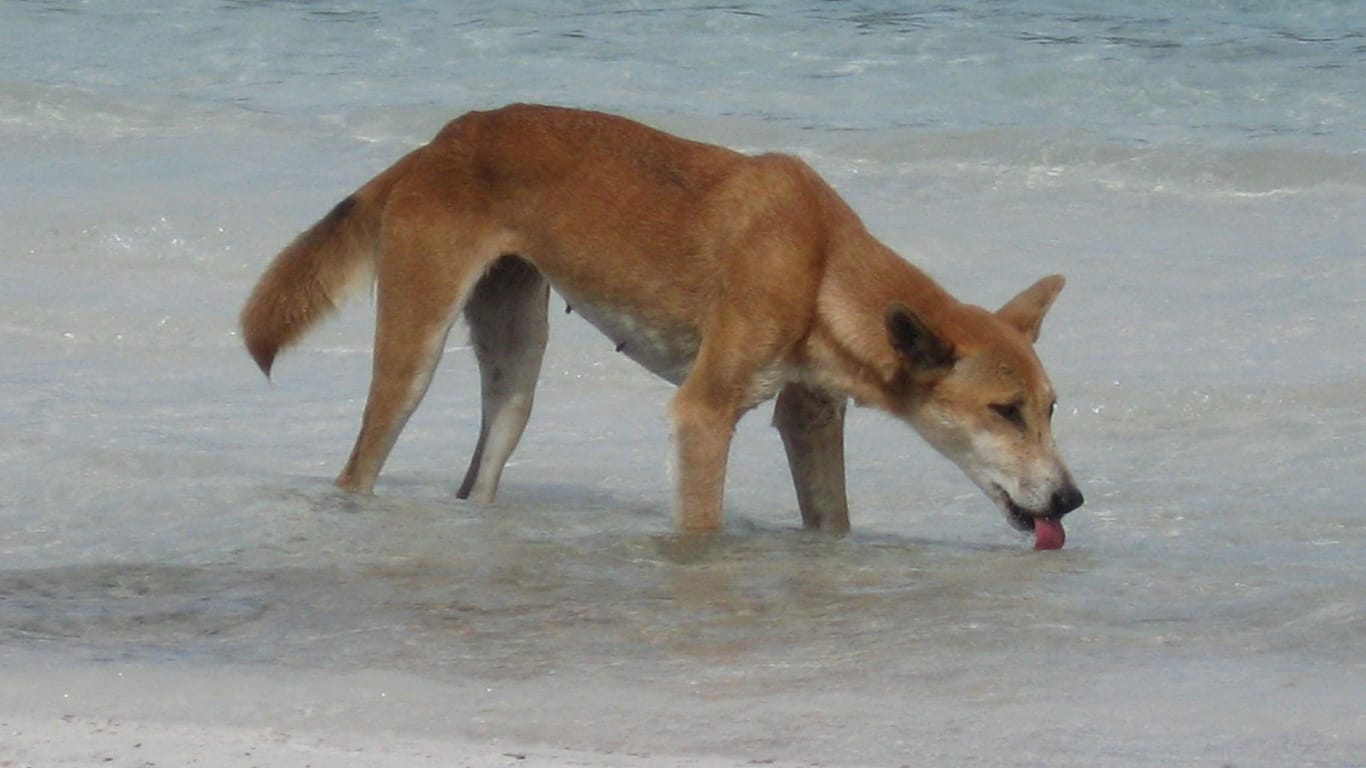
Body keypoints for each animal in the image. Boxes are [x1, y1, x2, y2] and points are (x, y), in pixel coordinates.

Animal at [240, 103, 1081, 543]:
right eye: (1005, 412)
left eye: (1050, 410)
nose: (1071, 500)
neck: (820, 262)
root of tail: (441, 139)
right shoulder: (704, 414)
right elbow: (702, 523)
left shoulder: (810, 417)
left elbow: (831, 520)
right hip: (412, 356)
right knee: (360, 466)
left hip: (517, 372)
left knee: (479, 478)